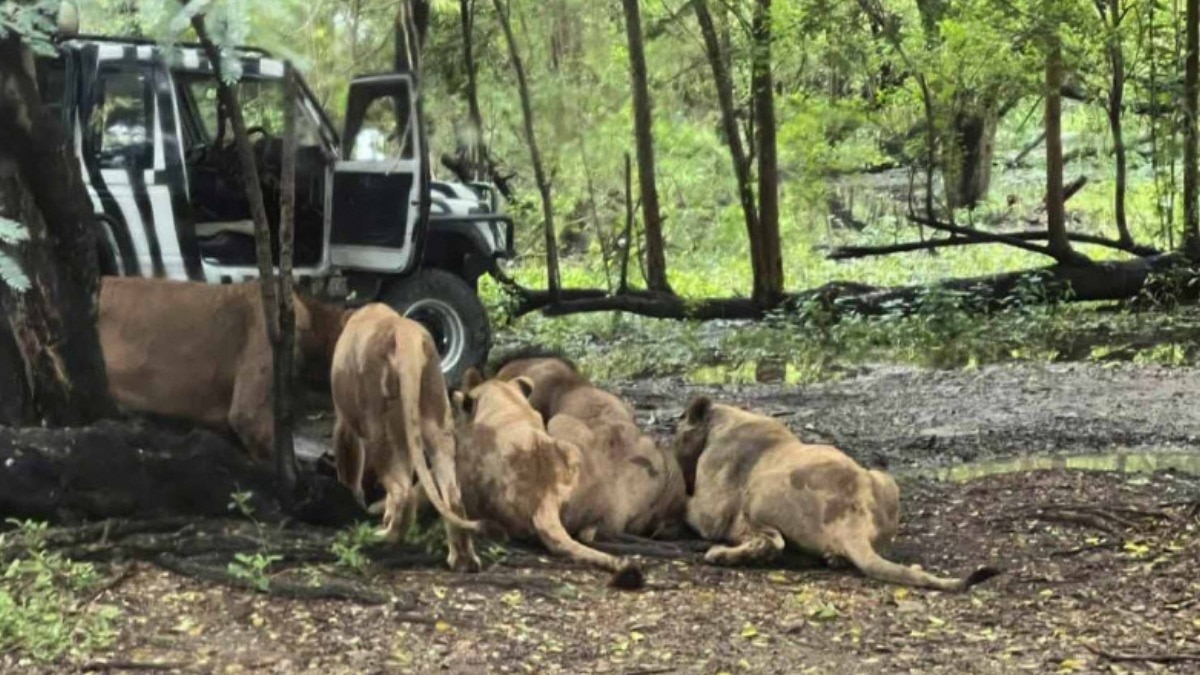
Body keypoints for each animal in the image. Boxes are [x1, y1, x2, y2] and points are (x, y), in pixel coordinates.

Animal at [330, 303, 488, 572]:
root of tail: (406, 334)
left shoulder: (344, 422)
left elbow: (348, 467)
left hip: (381, 429)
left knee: (402, 491)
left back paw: (383, 536)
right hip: (436, 418)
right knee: (452, 495)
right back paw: (463, 560)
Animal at [673, 397, 1000, 591]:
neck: (725, 420)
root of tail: (853, 515)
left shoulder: (709, 512)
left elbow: (688, 506)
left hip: (762, 490)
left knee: (772, 543)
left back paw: (720, 555)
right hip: (884, 479)